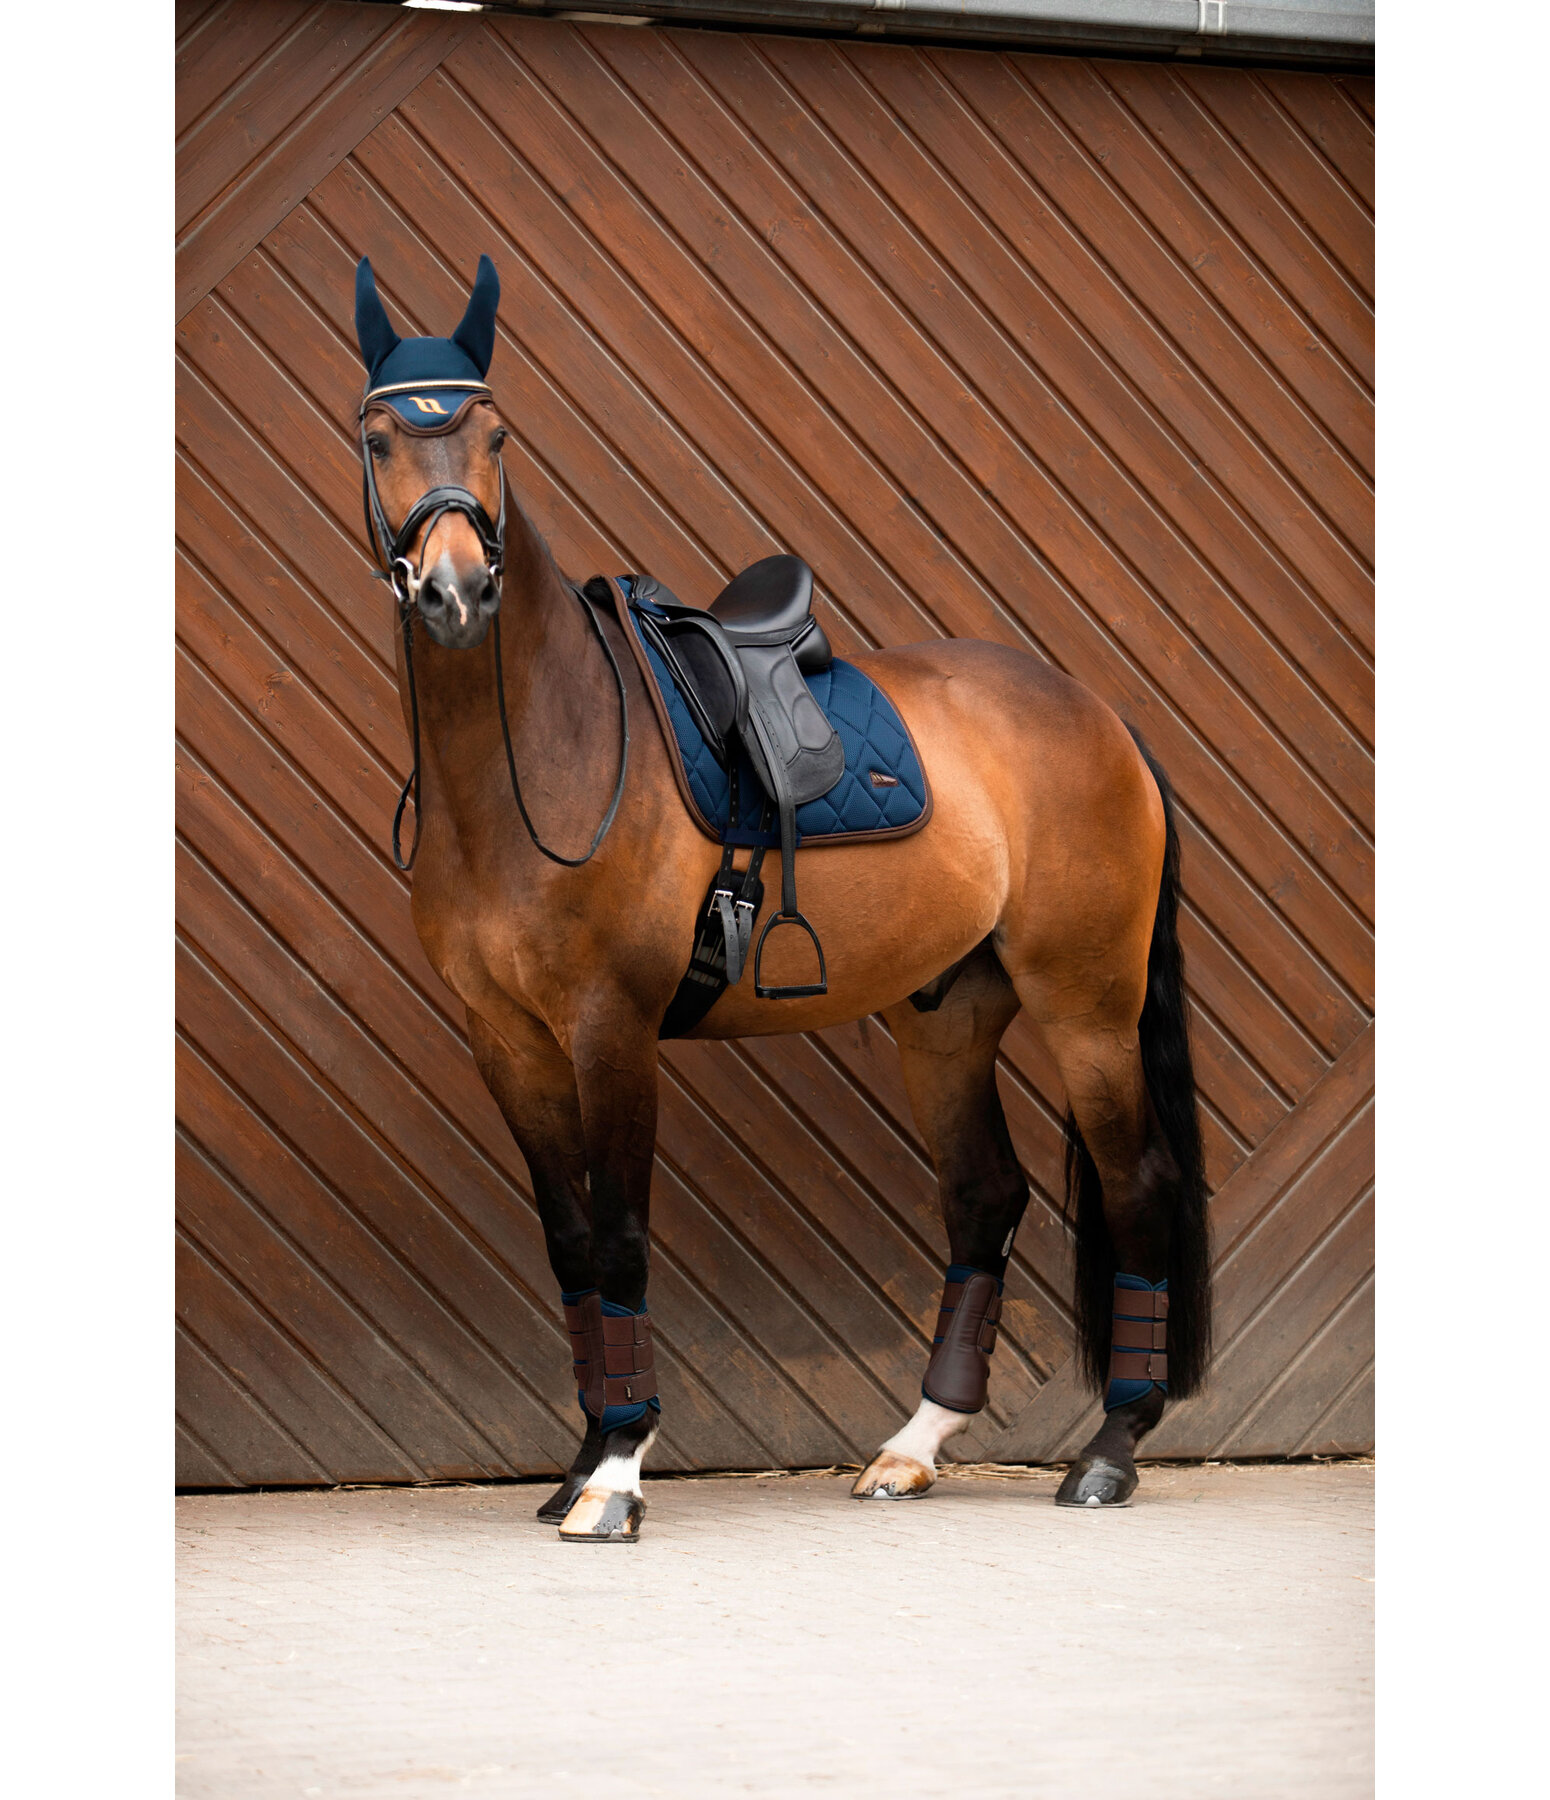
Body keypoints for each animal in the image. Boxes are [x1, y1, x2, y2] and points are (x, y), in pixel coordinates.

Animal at [351, 255, 1210, 1543]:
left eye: (494, 432)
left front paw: (616, 1473)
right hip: (948, 1019)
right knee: (982, 1199)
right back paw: (912, 1447)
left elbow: (619, 1238)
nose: (456, 591)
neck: (535, 757)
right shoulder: (504, 1039)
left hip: (1088, 1008)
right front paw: (581, 1458)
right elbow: (569, 1245)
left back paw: (1109, 1450)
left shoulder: (608, 1031)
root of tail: (1095, 715)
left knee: (1137, 1186)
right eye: (375, 437)